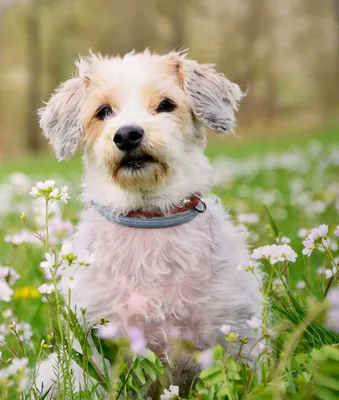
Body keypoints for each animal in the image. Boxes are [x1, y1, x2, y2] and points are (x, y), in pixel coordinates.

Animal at [37, 50, 266, 396]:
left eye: (166, 104)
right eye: (103, 111)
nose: (127, 134)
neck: (149, 218)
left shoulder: (233, 332)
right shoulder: (105, 347)